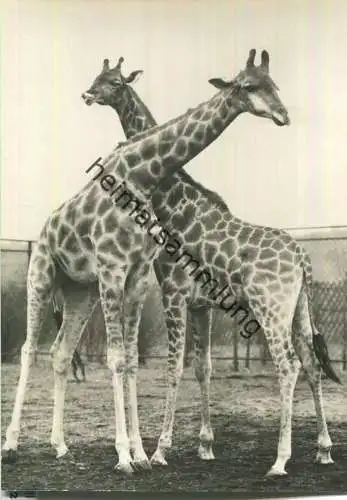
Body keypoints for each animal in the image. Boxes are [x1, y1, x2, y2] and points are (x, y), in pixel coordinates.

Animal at [2, 47, 292, 476]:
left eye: (274, 84)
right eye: (247, 85)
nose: (283, 115)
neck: (145, 178)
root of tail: (45, 228)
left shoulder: (138, 277)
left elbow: (135, 361)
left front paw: (141, 452)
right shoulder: (116, 270)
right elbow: (118, 358)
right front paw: (127, 454)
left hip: (80, 292)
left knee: (60, 352)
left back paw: (60, 446)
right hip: (42, 276)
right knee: (27, 350)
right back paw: (12, 444)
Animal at [80, 52, 342, 474]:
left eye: (115, 82)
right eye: (252, 85)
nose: (87, 94)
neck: (174, 203)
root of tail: (302, 257)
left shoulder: (172, 293)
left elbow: (174, 368)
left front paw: (160, 450)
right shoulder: (202, 304)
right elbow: (203, 368)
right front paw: (205, 445)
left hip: (270, 308)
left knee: (288, 365)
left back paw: (280, 460)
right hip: (300, 308)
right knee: (312, 362)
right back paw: (324, 449)